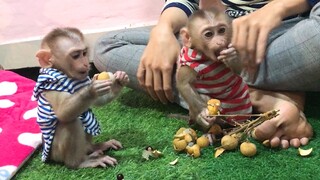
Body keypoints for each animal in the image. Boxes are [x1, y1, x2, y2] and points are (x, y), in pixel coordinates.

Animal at [33, 27, 129, 169]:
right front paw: (92, 90)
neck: (66, 74)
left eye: (84, 53)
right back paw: (80, 162)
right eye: (75, 56)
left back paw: (94, 147)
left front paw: (118, 82)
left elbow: (97, 101)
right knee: (71, 122)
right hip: (57, 153)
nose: (85, 63)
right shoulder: (52, 85)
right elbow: (62, 113)